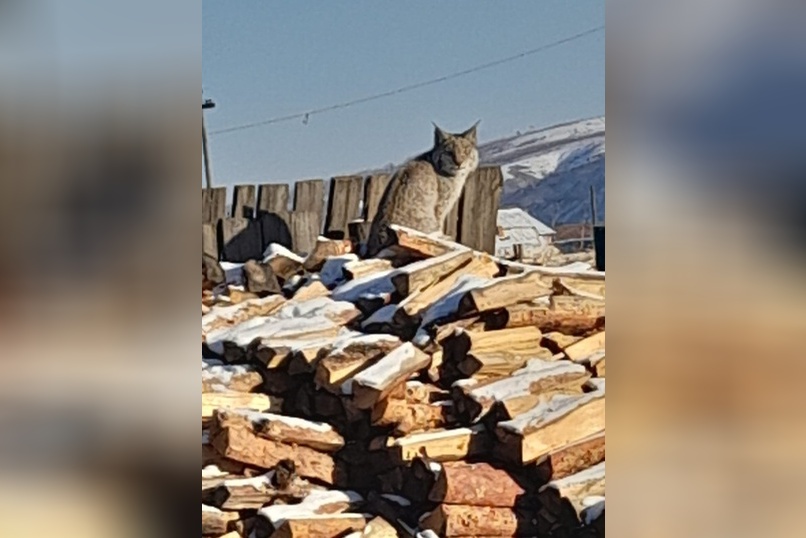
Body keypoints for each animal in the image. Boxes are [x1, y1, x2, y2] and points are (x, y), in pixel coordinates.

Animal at [366, 122, 480, 256]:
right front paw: (443, 238)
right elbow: (440, 223)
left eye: (466, 150)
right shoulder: (441, 205)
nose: (459, 163)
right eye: (449, 152)